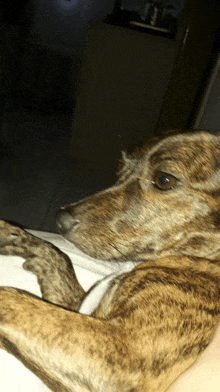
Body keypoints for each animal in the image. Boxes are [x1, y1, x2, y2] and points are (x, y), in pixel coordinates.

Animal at [0, 129, 220, 392]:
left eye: (164, 180)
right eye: (120, 169)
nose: (60, 220)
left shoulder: (126, 355)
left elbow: (11, 299)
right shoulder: (81, 311)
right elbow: (57, 258)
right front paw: (16, 237)